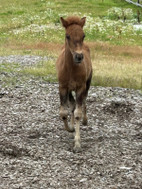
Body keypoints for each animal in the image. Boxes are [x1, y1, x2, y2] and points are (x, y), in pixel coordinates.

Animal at [56, 16, 92, 152]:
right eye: (67, 36)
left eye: (83, 35)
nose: (79, 56)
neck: (71, 69)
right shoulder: (63, 87)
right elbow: (63, 113)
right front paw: (70, 128)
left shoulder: (80, 87)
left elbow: (77, 113)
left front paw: (77, 143)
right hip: (70, 90)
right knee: (71, 104)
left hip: (87, 83)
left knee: (83, 102)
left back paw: (85, 120)